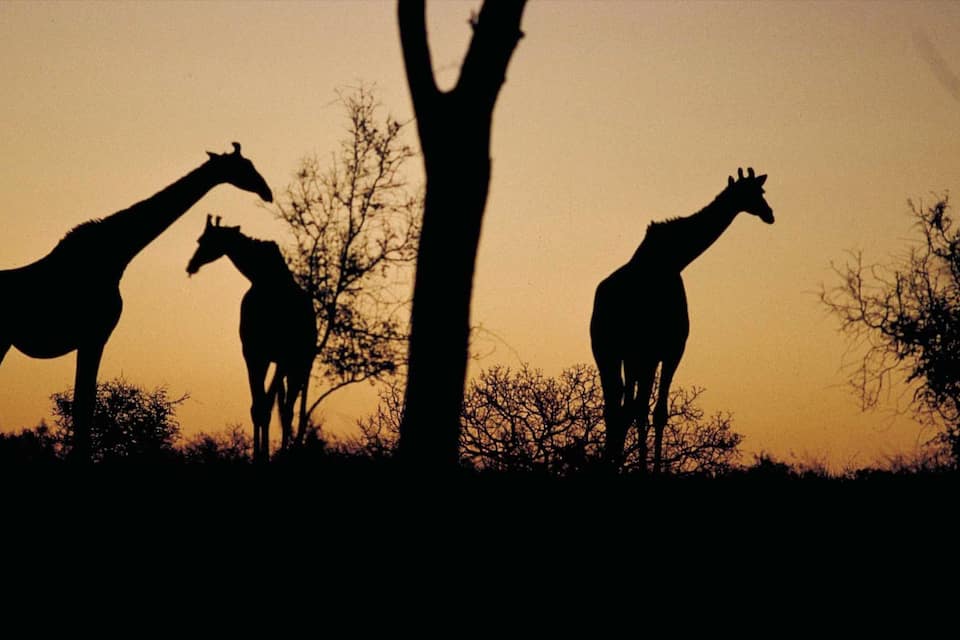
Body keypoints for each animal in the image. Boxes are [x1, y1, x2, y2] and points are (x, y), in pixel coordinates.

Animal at [0, 143, 273, 462]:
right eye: (245, 166)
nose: (267, 192)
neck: (117, 254)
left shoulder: (94, 336)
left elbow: (85, 404)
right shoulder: (95, 334)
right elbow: (83, 405)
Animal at [186, 214, 317, 463]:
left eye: (208, 240)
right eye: (199, 239)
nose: (191, 265)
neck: (265, 281)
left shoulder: (281, 356)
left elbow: (266, 406)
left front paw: (265, 457)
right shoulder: (253, 352)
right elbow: (257, 408)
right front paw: (258, 456)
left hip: (300, 364)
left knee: (290, 410)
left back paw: (288, 454)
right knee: (282, 406)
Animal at [590, 167, 773, 475]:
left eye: (761, 192)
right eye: (752, 193)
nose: (769, 214)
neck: (674, 260)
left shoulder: (660, 351)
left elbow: (650, 411)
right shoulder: (663, 349)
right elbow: (650, 411)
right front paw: (647, 470)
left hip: (620, 354)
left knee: (619, 406)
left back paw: (612, 463)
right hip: (617, 352)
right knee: (622, 407)